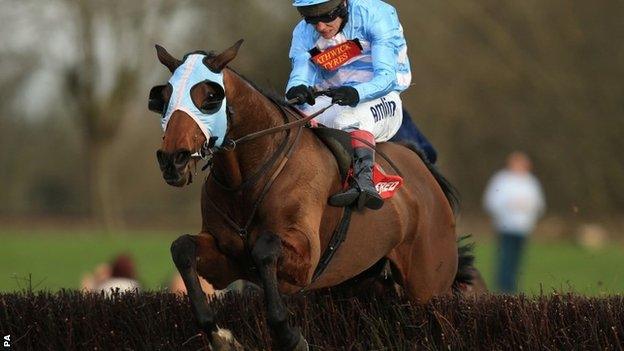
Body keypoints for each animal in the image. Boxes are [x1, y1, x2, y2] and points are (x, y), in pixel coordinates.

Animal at [149, 40, 476, 350]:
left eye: (210, 97)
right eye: (163, 97)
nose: (173, 159)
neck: (246, 179)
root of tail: (423, 168)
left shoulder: (303, 262)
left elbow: (264, 248)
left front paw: (289, 336)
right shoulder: (227, 260)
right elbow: (182, 248)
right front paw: (221, 337)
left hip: (428, 286)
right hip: (362, 281)